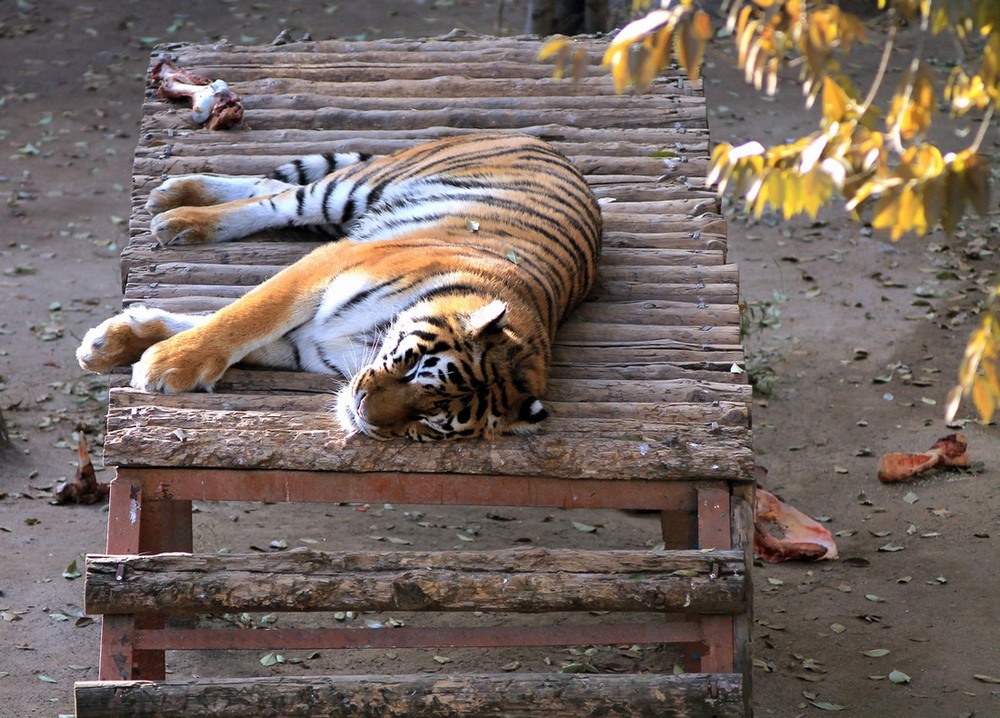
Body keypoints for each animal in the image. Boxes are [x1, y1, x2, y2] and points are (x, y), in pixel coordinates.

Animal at [78, 132, 600, 442]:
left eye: (429, 422)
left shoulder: (302, 346)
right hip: (349, 191)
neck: (366, 339)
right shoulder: (328, 264)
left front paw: (116, 342)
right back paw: (177, 208)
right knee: (276, 198)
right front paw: (163, 362)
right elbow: (240, 318)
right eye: (416, 370)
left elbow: (210, 325)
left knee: (271, 188)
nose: (363, 412)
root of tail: (531, 136)